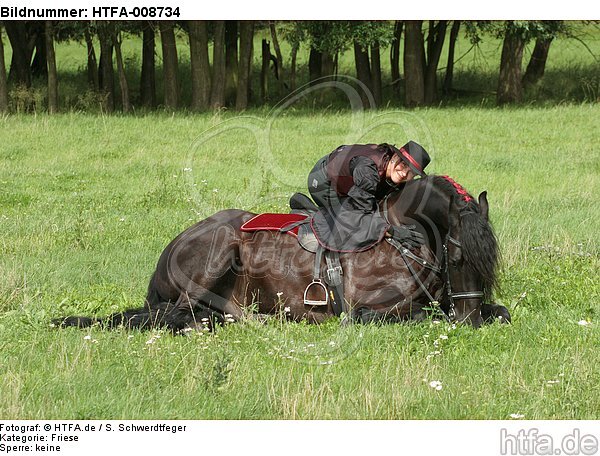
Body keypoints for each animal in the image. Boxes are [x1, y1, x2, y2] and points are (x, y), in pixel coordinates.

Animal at [56, 176, 508, 330]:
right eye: (458, 258)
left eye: (490, 266)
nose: (469, 322)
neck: (400, 234)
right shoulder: (365, 309)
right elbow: (413, 316)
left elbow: (501, 312)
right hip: (218, 249)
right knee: (177, 315)